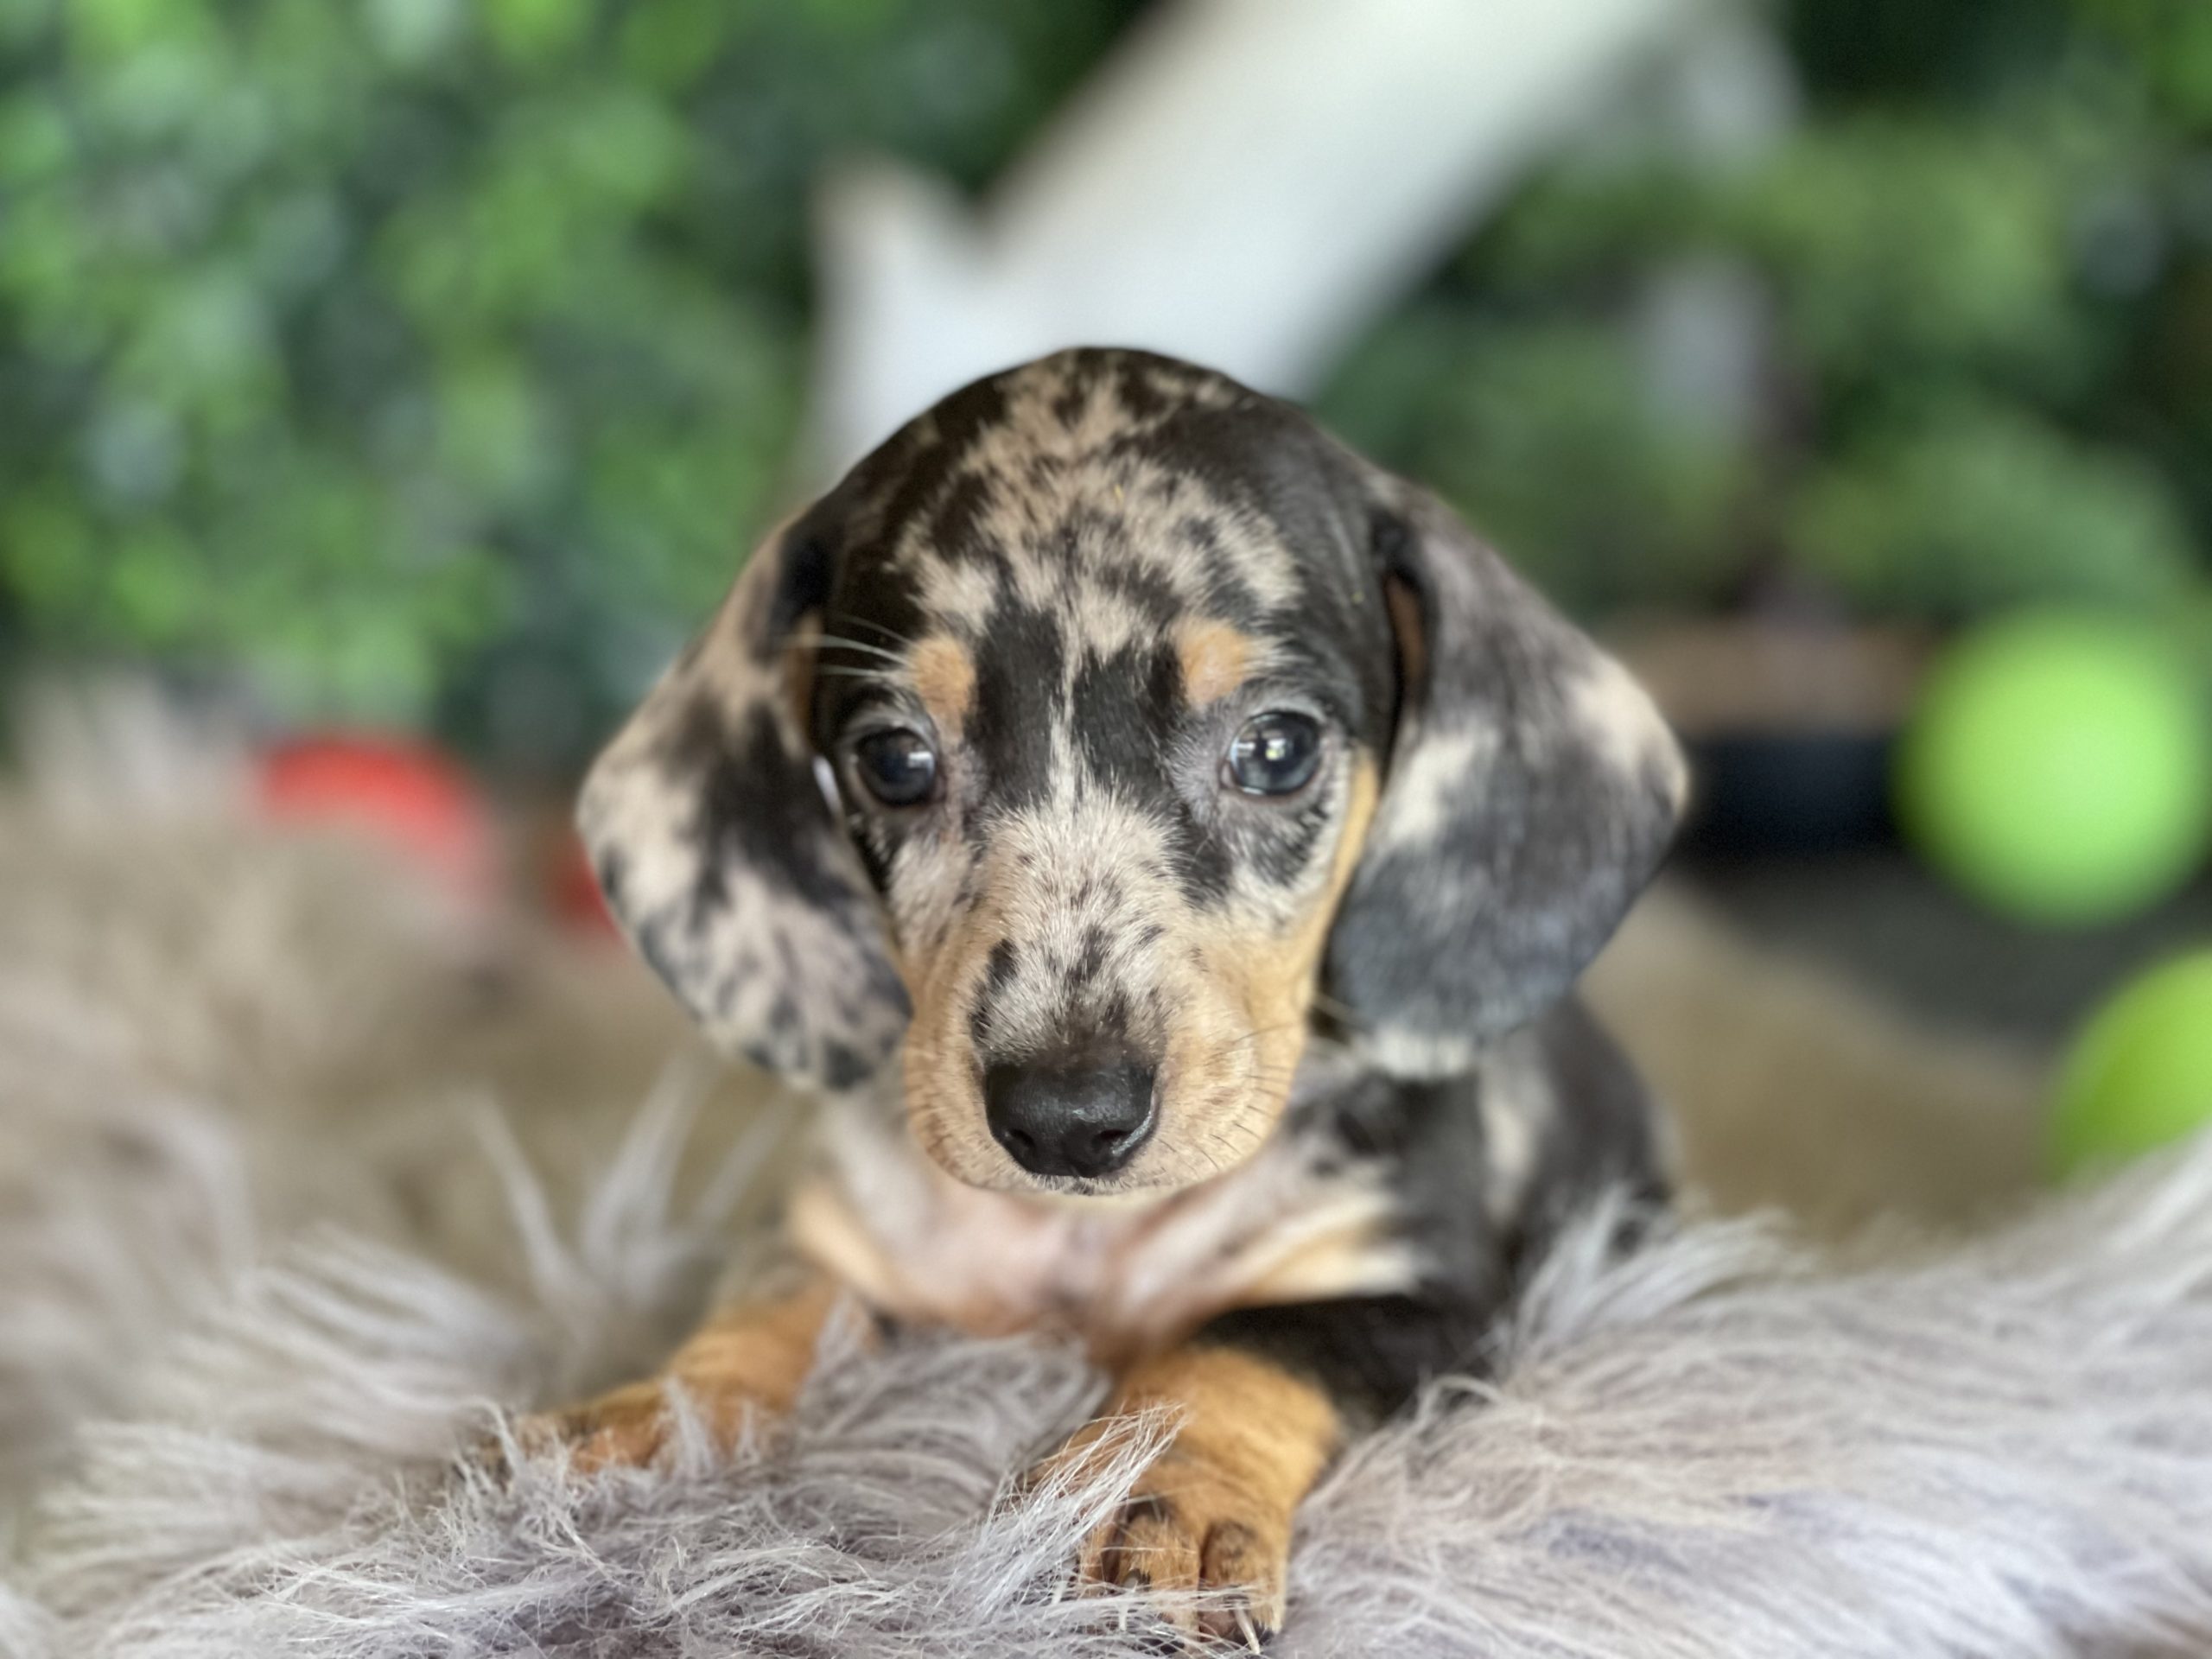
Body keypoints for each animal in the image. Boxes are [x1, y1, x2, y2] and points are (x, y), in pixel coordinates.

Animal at [552, 347, 1686, 1644]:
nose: (1066, 1119)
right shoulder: (848, 1251)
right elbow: (764, 1306)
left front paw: (1155, 1493)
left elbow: (1245, 1342)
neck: (1088, 1240)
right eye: (894, 760)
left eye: (1278, 750)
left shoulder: (1429, 1293)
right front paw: (657, 1414)